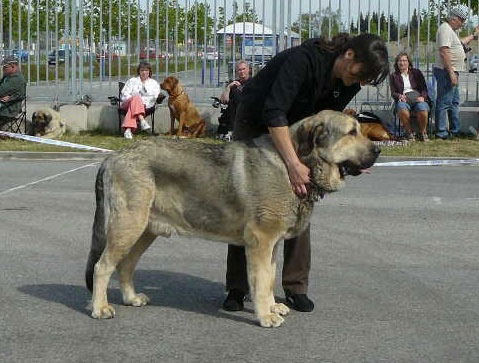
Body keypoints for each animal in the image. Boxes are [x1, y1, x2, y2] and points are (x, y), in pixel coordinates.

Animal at [84, 109, 380, 328]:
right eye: (351, 132)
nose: (377, 151)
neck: (293, 162)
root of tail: (112, 158)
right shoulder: (261, 241)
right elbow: (260, 280)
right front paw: (265, 315)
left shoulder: (272, 244)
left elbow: (270, 278)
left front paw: (273, 306)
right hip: (128, 226)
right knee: (103, 266)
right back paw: (100, 308)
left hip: (145, 230)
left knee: (125, 265)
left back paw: (131, 298)